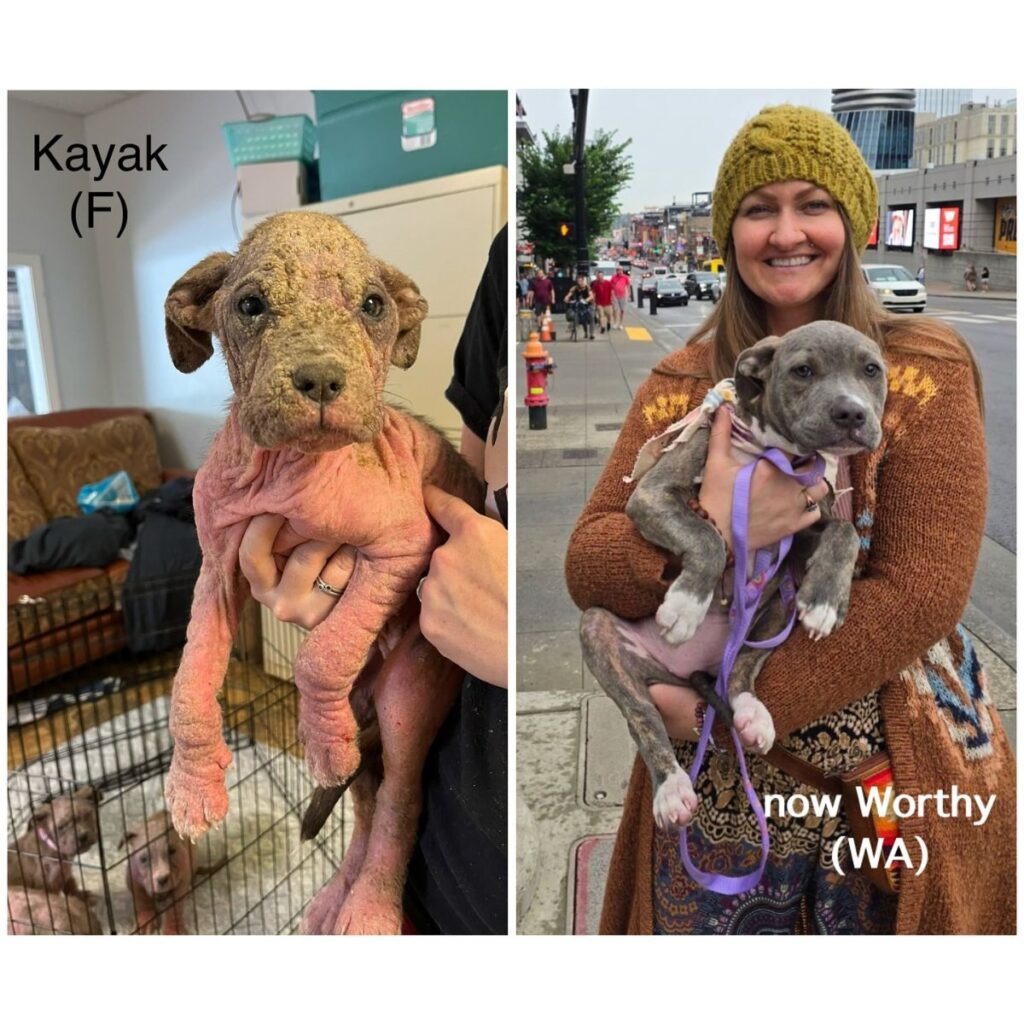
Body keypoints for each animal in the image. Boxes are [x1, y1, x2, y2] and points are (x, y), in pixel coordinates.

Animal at [161, 216, 481, 937]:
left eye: (374, 305)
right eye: (250, 305)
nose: (320, 380)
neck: (288, 469)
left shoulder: (402, 550)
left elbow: (323, 655)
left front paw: (323, 739)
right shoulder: (217, 570)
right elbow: (189, 681)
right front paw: (193, 785)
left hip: (409, 691)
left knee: (398, 799)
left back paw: (369, 905)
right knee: (364, 796)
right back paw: (339, 891)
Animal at [585, 321, 888, 831]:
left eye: (871, 370)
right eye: (802, 370)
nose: (851, 412)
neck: (777, 455)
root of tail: (693, 670)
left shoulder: (806, 526)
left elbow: (844, 531)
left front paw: (827, 600)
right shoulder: (652, 494)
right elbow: (708, 535)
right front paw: (686, 605)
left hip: (778, 603)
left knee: (741, 671)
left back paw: (751, 715)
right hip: (600, 632)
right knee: (642, 717)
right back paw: (672, 789)